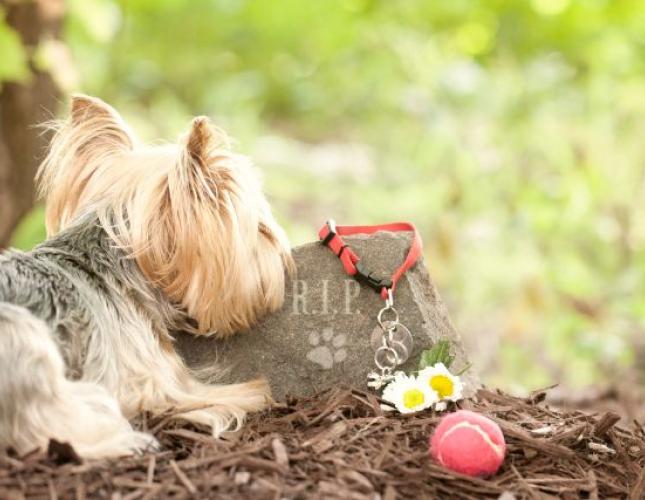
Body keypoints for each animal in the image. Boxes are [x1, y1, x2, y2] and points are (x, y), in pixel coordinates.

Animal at [0, 95, 292, 458]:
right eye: (262, 230)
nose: (284, 257)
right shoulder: (154, 381)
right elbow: (210, 394)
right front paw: (251, 394)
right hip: (24, 338)